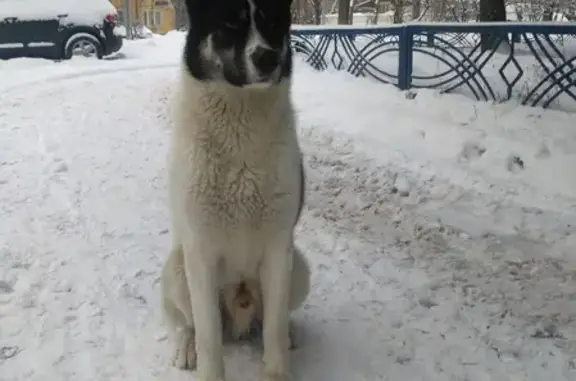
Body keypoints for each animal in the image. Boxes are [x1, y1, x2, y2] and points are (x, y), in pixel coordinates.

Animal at [158, 0, 310, 380]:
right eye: (230, 24)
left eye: (274, 22)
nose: (268, 58)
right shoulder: (200, 252)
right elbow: (209, 335)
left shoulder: (278, 249)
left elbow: (272, 330)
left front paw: (278, 370)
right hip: (178, 268)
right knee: (190, 324)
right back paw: (187, 347)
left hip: (298, 267)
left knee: (274, 319)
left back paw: (290, 332)